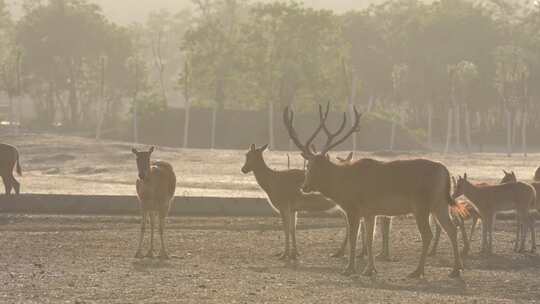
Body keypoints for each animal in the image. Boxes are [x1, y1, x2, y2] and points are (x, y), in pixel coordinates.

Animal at [282, 104, 464, 278]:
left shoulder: (353, 209)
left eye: (314, 167)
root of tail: (445, 171)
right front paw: (370, 270)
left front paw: (349, 269)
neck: (342, 186)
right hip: (439, 204)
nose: (304, 186)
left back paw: (418, 271)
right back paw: (455, 270)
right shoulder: (370, 212)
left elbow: (354, 238)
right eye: (308, 165)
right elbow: (369, 239)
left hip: (421, 205)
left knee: (428, 234)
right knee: (451, 229)